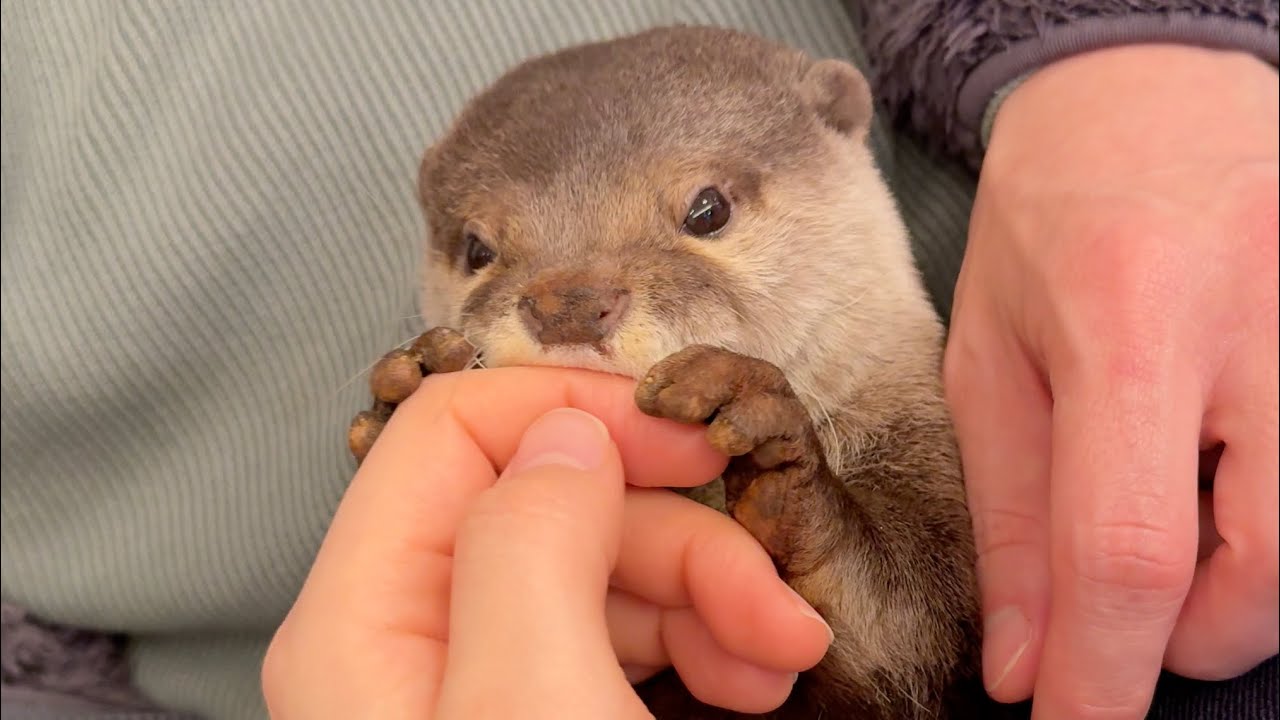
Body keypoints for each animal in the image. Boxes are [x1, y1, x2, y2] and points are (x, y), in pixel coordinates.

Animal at [349, 26, 992, 719]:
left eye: (708, 210)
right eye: (476, 249)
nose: (568, 305)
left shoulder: (923, 461)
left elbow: (911, 630)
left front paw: (771, 448)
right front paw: (405, 392)